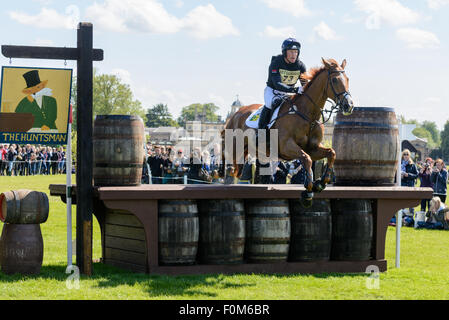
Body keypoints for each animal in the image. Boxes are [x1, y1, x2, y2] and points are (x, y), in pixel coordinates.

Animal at [220, 57, 354, 201]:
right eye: (334, 80)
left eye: (347, 79)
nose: (349, 105)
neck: (308, 115)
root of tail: (235, 114)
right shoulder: (286, 147)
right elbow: (306, 158)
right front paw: (309, 188)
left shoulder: (313, 148)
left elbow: (331, 153)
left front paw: (321, 183)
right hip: (233, 146)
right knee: (228, 162)